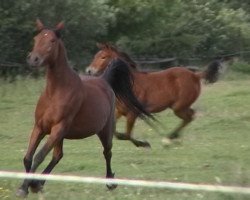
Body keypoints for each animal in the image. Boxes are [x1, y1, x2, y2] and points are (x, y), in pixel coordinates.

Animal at [16, 20, 152, 197]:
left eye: (52, 40)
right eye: (36, 38)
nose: (34, 59)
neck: (56, 92)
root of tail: (104, 80)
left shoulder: (58, 128)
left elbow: (39, 156)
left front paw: (27, 186)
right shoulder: (40, 127)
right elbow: (28, 157)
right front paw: (27, 186)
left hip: (104, 130)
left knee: (107, 152)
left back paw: (111, 182)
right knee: (58, 156)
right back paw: (39, 183)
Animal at [86, 43, 221, 148]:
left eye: (103, 57)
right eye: (95, 56)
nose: (89, 71)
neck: (129, 84)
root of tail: (195, 75)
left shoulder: (133, 113)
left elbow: (127, 135)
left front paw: (143, 144)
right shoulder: (119, 112)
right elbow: (115, 132)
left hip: (178, 107)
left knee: (189, 116)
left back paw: (169, 138)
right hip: (181, 106)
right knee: (190, 115)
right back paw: (173, 138)